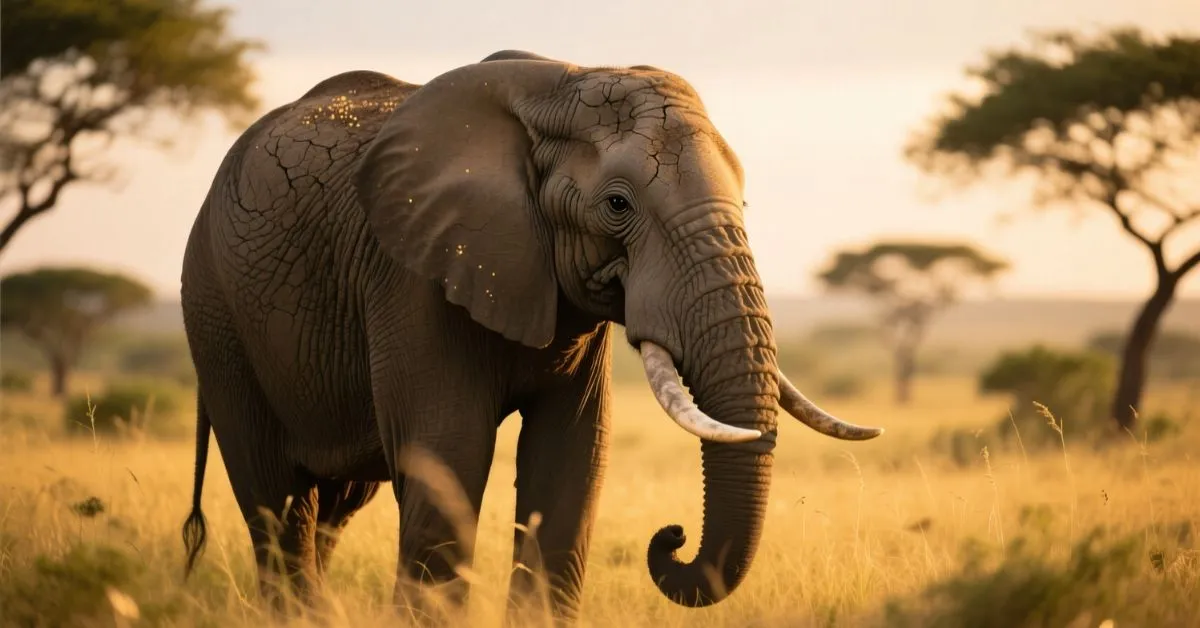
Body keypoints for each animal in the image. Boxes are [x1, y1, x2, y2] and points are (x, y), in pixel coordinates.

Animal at [177, 48, 883, 622]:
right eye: (618, 205)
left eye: (745, 203)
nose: (671, 537)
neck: (559, 84)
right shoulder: (413, 275)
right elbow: (449, 457)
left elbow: (571, 459)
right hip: (215, 316)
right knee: (277, 504)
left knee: (332, 506)